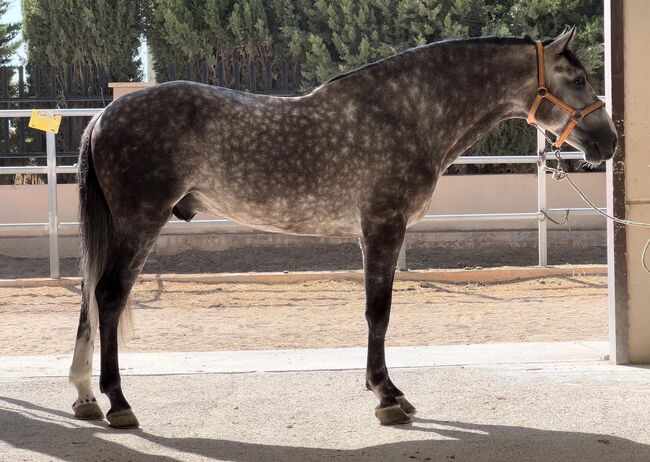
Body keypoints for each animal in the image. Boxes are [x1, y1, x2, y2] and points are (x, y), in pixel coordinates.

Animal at [68, 28, 616, 426]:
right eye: (578, 79)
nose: (608, 141)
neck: (408, 112)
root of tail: (104, 114)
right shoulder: (382, 228)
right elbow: (379, 312)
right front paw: (387, 396)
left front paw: (384, 390)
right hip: (140, 222)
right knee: (109, 295)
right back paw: (118, 403)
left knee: (90, 293)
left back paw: (84, 396)